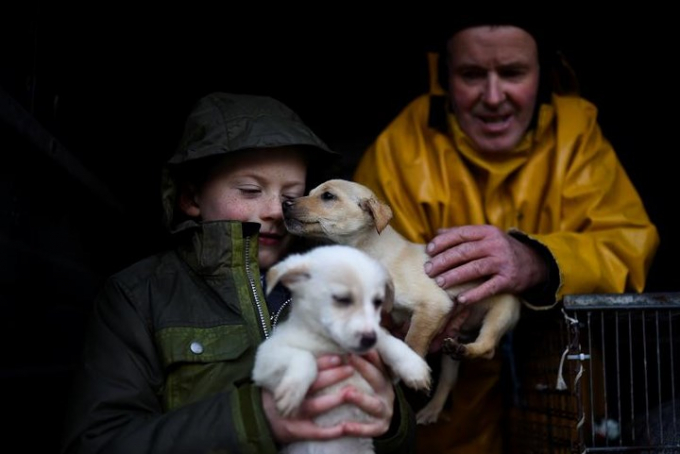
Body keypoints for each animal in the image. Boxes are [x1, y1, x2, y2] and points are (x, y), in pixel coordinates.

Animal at [250, 245, 430, 454]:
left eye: (377, 302)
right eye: (342, 299)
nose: (369, 339)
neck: (333, 346)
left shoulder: (388, 372)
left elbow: (388, 340)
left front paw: (413, 367)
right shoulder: (264, 362)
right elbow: (303, 356)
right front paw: (293, 390)